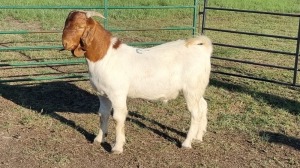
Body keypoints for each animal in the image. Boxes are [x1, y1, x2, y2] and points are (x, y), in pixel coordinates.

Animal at [62, 10, 212, 154]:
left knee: (195, 113)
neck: (105, 56)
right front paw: (98, 139)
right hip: (198, 88)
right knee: (203, 106)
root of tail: (203, 50)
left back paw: (187, 143)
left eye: (80, 26)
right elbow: (103, 114)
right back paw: (198, 137)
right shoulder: (102, 94)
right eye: (66, 23)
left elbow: (118, 118)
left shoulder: (117, 94)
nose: (65, 43)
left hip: (191, 89)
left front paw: (117, 147)